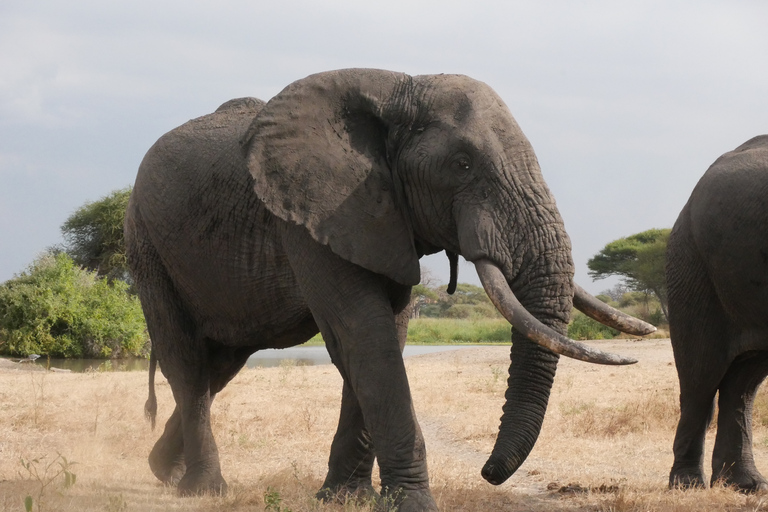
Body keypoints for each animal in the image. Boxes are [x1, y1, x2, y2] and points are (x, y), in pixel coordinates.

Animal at [126, 69, 656, 512]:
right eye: (462, 164)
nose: (488, 472)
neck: (399, 89)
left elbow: (385, 337)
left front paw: (344, 499)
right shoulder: (308, 214)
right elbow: (365, 336)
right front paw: (413, 506)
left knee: (221, 364)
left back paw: (163, 471)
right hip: (147, 245)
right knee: (186, 360)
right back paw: (203, 490)